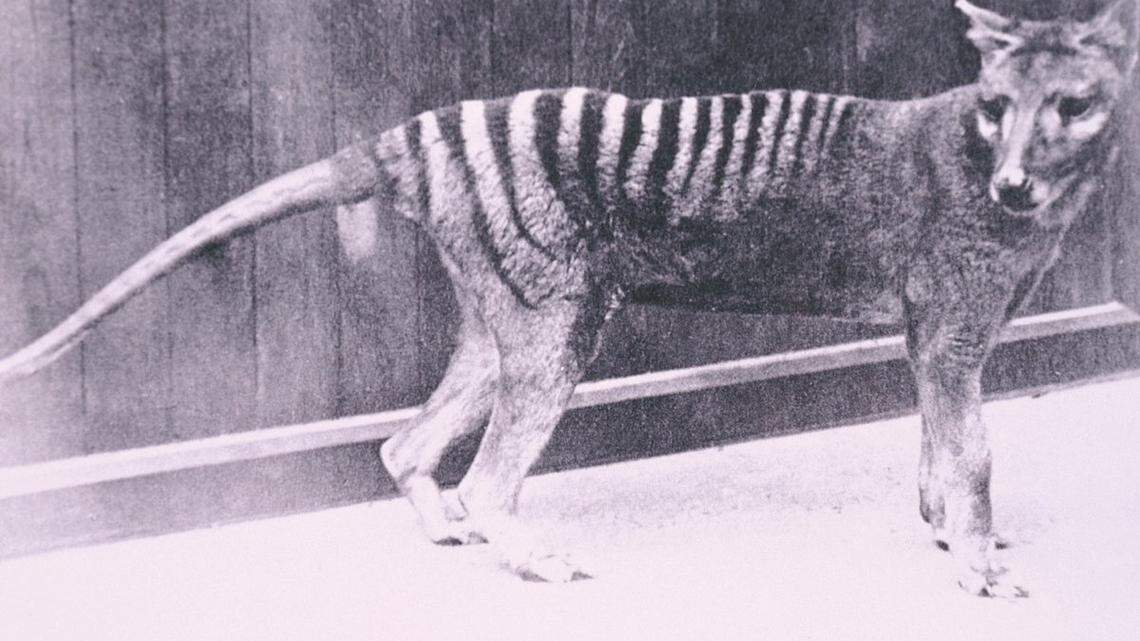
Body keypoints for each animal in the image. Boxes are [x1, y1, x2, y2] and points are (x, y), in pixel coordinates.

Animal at [0, 0, 1135, 597]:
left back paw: (445, 525)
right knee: (488, 475)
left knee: (410, 444)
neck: (978, 157)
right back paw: (526, 549)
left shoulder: (933, 332)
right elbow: (972, 448)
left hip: (506, 313)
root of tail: (408, 142)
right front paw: (977, 563)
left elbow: (938, 444)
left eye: (1072, 104)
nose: (1014, 185)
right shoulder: (952, 325)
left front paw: (947, 530)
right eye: (999, 103)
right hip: (556, 323)